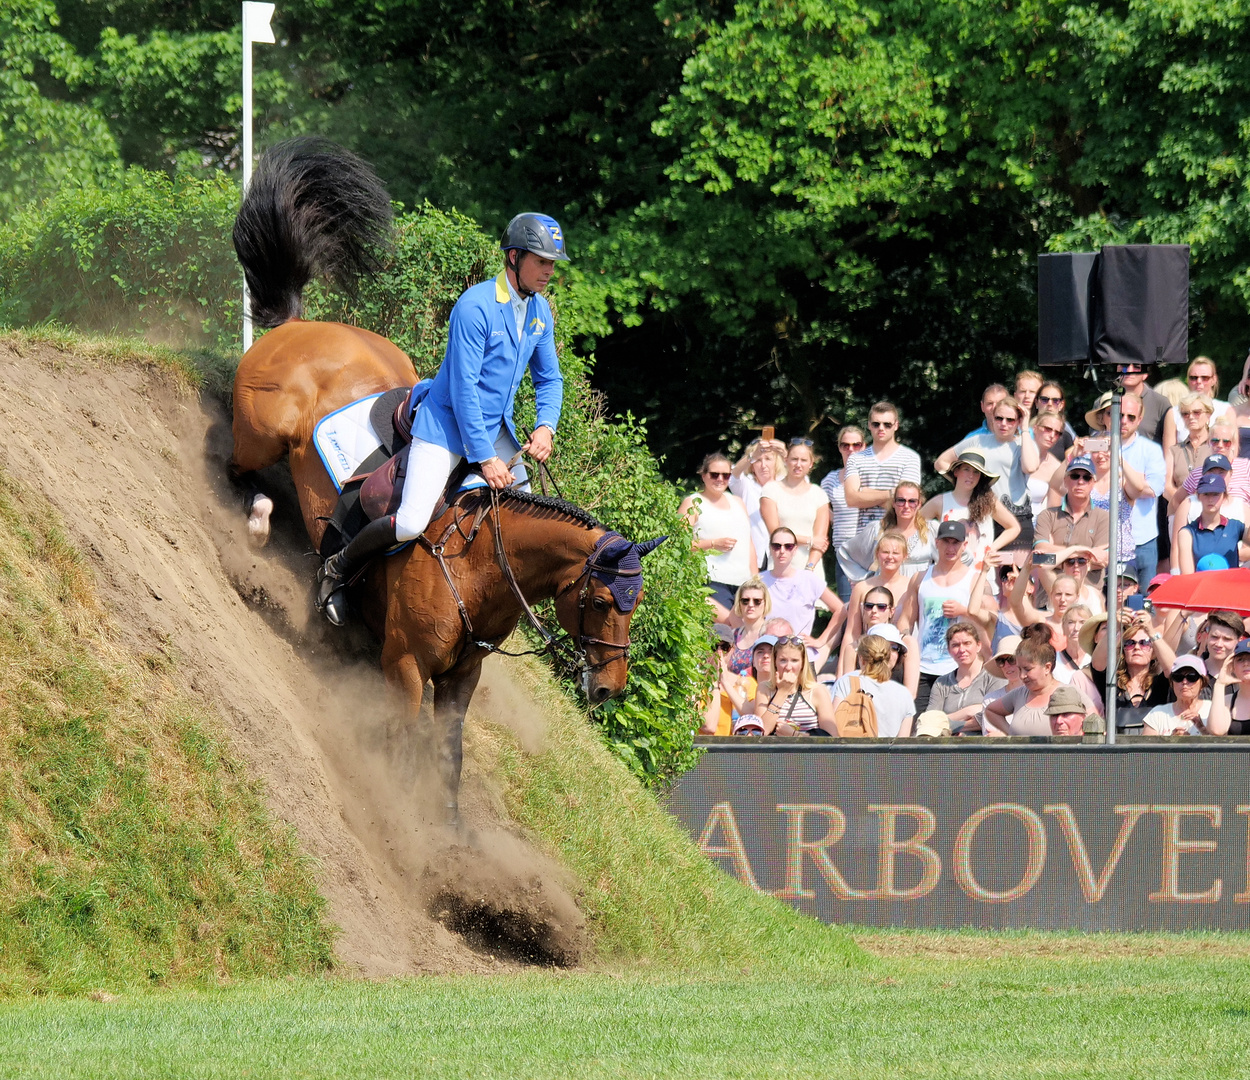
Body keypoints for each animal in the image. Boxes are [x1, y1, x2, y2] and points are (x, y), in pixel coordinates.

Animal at [231, 139, 670, 825]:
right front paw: (399, 811)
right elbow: (404, 738)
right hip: (261, 430)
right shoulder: (406, 664)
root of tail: (299, 327)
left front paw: (447, 824)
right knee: (240, 469)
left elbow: (449, 754)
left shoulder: (462, 680)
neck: (480, 568)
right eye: (600, 602)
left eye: (637, 603)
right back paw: (262, 523)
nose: (607, 688)